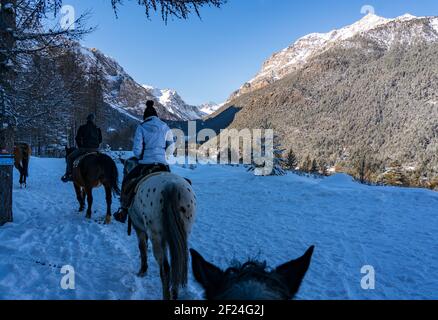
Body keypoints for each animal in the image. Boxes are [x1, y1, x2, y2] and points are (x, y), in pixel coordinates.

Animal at [126, 172, 195, 300]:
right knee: (177, 266)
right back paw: (174, 294)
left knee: (165, 269)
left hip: (157, 238)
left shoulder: (139, 229)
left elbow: (142, 248)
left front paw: (142, 270)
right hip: (183, 234)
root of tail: (172, 186)